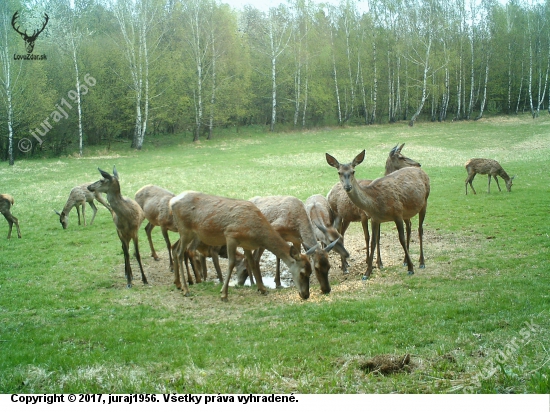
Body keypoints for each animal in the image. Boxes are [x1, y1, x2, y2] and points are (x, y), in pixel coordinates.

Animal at [168, 192, 314, 300]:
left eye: (311, 272)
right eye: (302, 273)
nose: (306, 295)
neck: (256, 232)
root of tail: (172, 202)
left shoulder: (246, 245)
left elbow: (252, 262)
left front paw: (262, 289)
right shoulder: (231, 235)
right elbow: (232, 263)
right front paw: (224, 294)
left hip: (188, 233)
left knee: (175, 249)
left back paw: (179, 285)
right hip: (185, 230)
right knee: (181, 253)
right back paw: (186, 289)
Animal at [328, 150, 432, 278]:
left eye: (353, 171)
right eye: (339, 172)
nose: (347, 187)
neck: (374, 203)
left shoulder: (397, 213)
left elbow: (400, 239)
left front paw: (410, 268)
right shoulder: (375, 219)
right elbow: (373, 241)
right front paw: (367, 272)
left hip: (425, 201)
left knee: (420, 229)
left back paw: (421, 262)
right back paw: (344, 265)